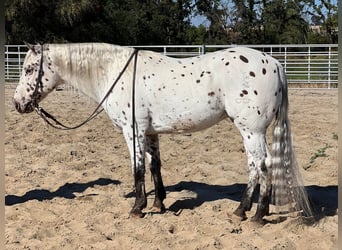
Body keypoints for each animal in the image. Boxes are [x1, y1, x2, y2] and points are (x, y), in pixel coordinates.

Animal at [13, 44, 312, 222]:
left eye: (29, 69)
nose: (18, 104)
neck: (114, 73)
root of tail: (274, 64)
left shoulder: (132, 131)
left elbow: (137, 169)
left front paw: (137, 207)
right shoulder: (150, 133)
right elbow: (154, 166)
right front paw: (158, 204)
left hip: (252, 130)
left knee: (262, 166)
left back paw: (257, 214)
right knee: (254, 166)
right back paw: (243, 209)